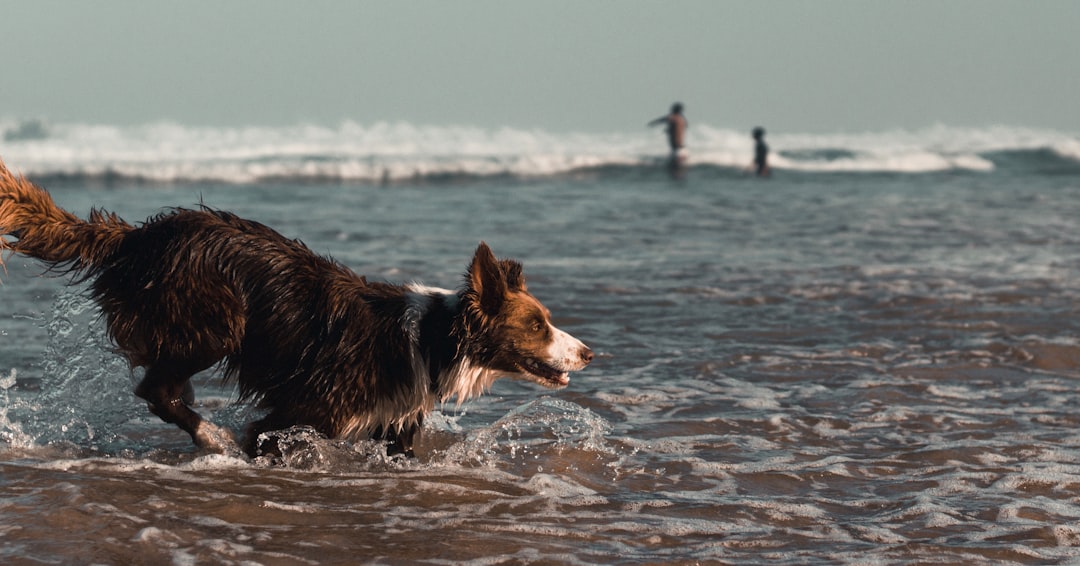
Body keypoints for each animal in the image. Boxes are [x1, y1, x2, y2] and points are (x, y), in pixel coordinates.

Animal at [0, 158, 591, 455]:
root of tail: (137, 235)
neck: (430, 338)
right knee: (155, 390)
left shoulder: (392, 426)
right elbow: (261, 436)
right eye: (538, 324)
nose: (588, 353)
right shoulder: (301, 411)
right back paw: (211, 436)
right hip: (215, 320)